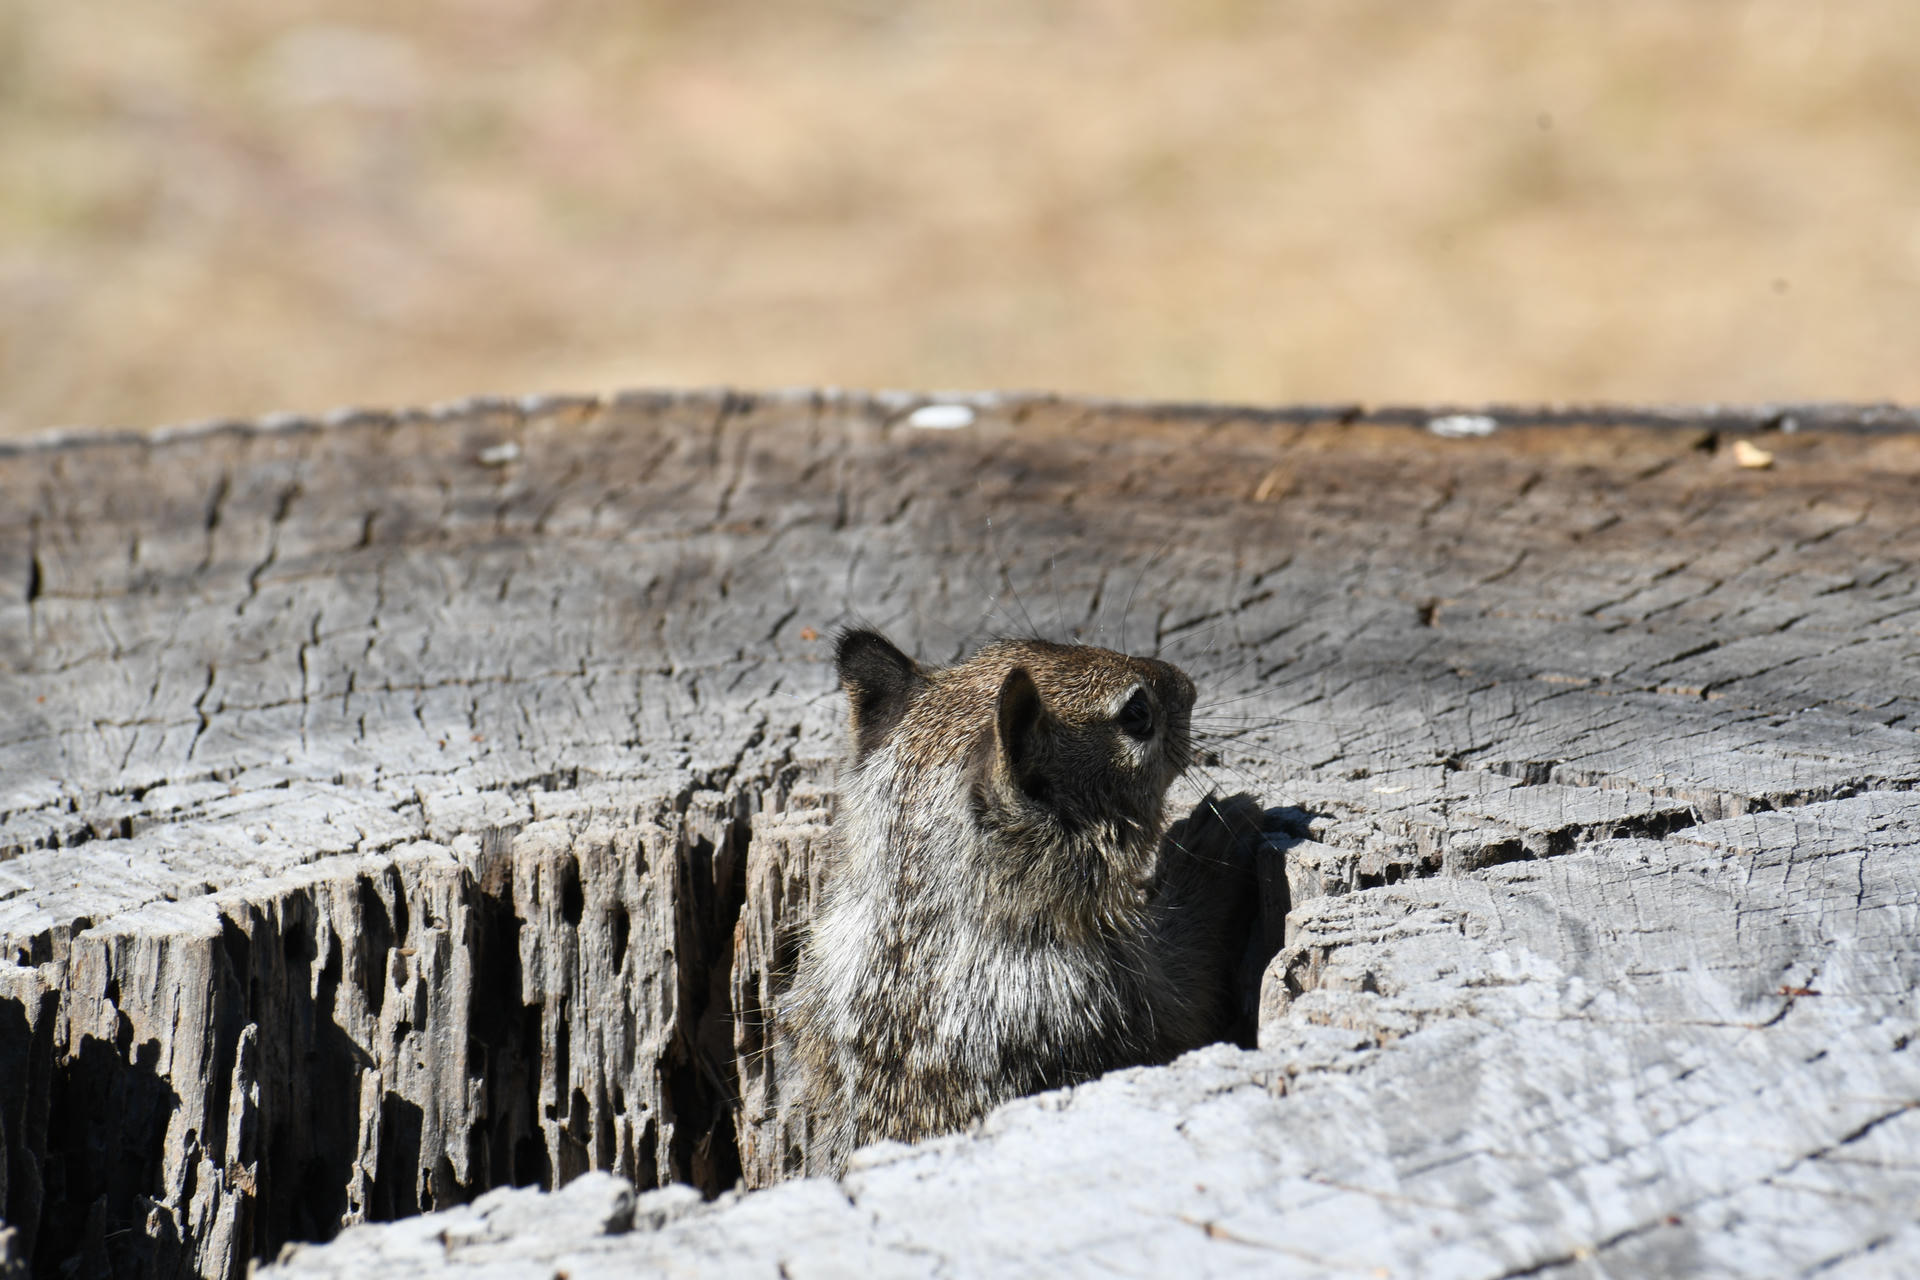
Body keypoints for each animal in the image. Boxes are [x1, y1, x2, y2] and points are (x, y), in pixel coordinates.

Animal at [780, 628, 1259, 1174]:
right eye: (1136, 714)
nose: (1186, 681)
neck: (914, 908)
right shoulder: (1123, 1009)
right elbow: (1192, 981)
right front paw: (1215, 836)